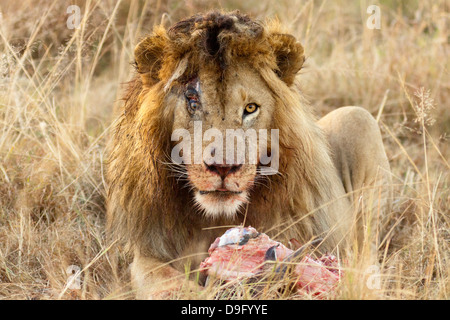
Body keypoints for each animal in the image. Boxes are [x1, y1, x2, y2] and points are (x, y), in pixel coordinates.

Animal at [105, 10, 390, 300]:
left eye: (250, 108)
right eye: (193, 102)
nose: (223, 167)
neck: (219, 219)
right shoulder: (148, 250)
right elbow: (160, 279)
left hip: (357, 118)